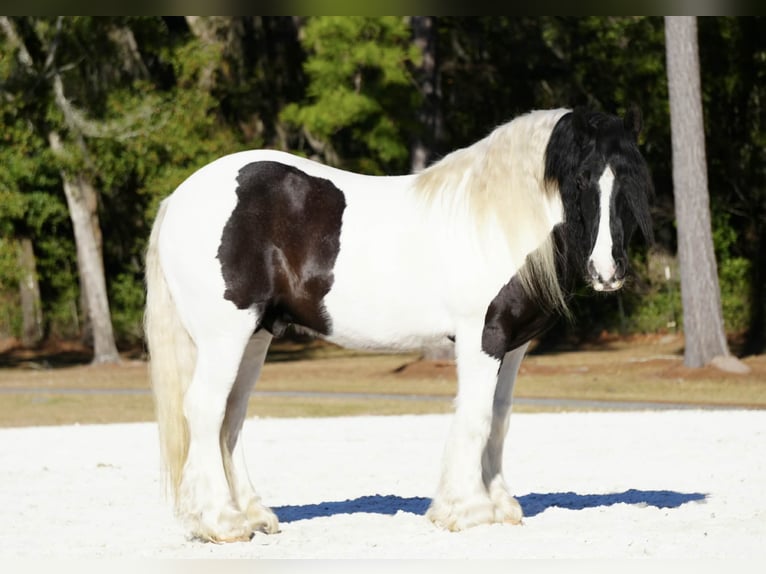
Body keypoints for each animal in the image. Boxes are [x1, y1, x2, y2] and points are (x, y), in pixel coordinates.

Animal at [144, 106, 654, 542]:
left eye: (631, 178)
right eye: (582, 178)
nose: (607, 271)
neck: (496, 220)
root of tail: (179, 198)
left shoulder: (512, 346)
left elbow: (499, 419)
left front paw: (500, 505)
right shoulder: (482, 338)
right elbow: (475, 417)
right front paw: (467, 510)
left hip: (255, 336)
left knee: (230, 418)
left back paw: (253, 515)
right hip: (224, 336)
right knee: (205, 410)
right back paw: (223, 522)